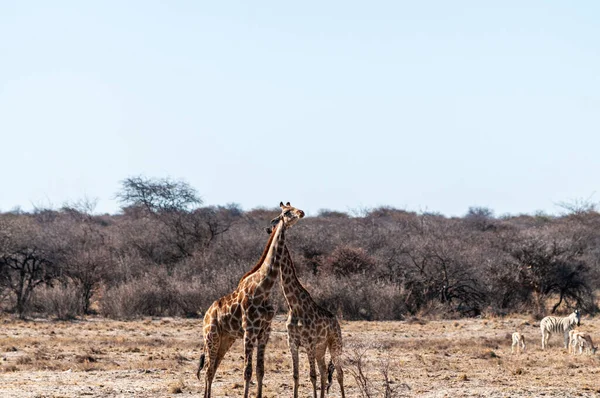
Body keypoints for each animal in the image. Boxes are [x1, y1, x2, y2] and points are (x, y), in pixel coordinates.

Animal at [197, 202, 304, 398]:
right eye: (286, 212)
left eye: (295, 207)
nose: (301, 212)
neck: (264, 288)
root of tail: (206, 315)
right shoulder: (249, 331)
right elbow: (247, 371)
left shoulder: (264, 332)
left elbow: (260, 370)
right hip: (211, 336)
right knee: (208, 369)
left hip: (226, 338)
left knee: (213, 368)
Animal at [268, 210, 346, 396]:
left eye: (284, 214)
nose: (269, 227)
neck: (294, 305)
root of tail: (336, 322)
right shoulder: (293, 343)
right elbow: (296, 376)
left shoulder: (309, 343)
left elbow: (312, 376)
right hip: (320, 348)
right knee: (324, 371)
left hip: (334, 343)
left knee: (339, 373)